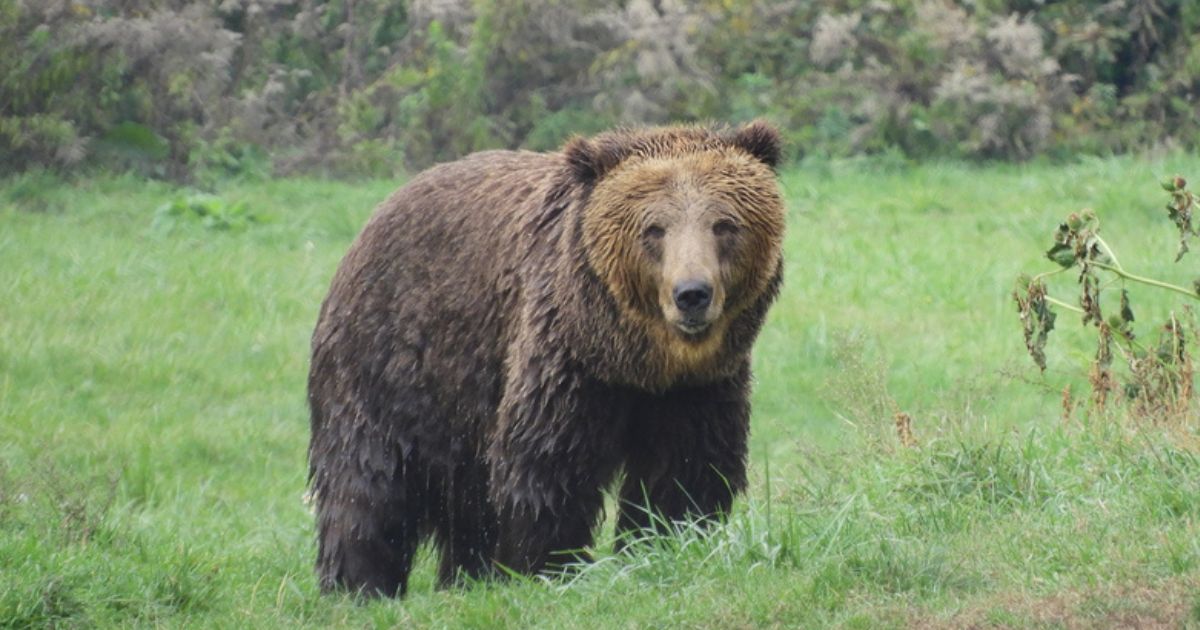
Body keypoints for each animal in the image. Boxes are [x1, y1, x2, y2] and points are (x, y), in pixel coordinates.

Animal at [309, 121, 787, 595]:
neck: (636, 360)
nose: (692, 294)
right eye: (653, 228)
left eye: (724, 224)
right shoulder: (565, 359)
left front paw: (663, 543)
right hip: (390, 362)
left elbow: (685, 471)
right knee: (366, 480)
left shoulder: (697, 389)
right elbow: (548, 462)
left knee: (466, 501)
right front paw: (548, 566)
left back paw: (465, 578)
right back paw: (359, 585)